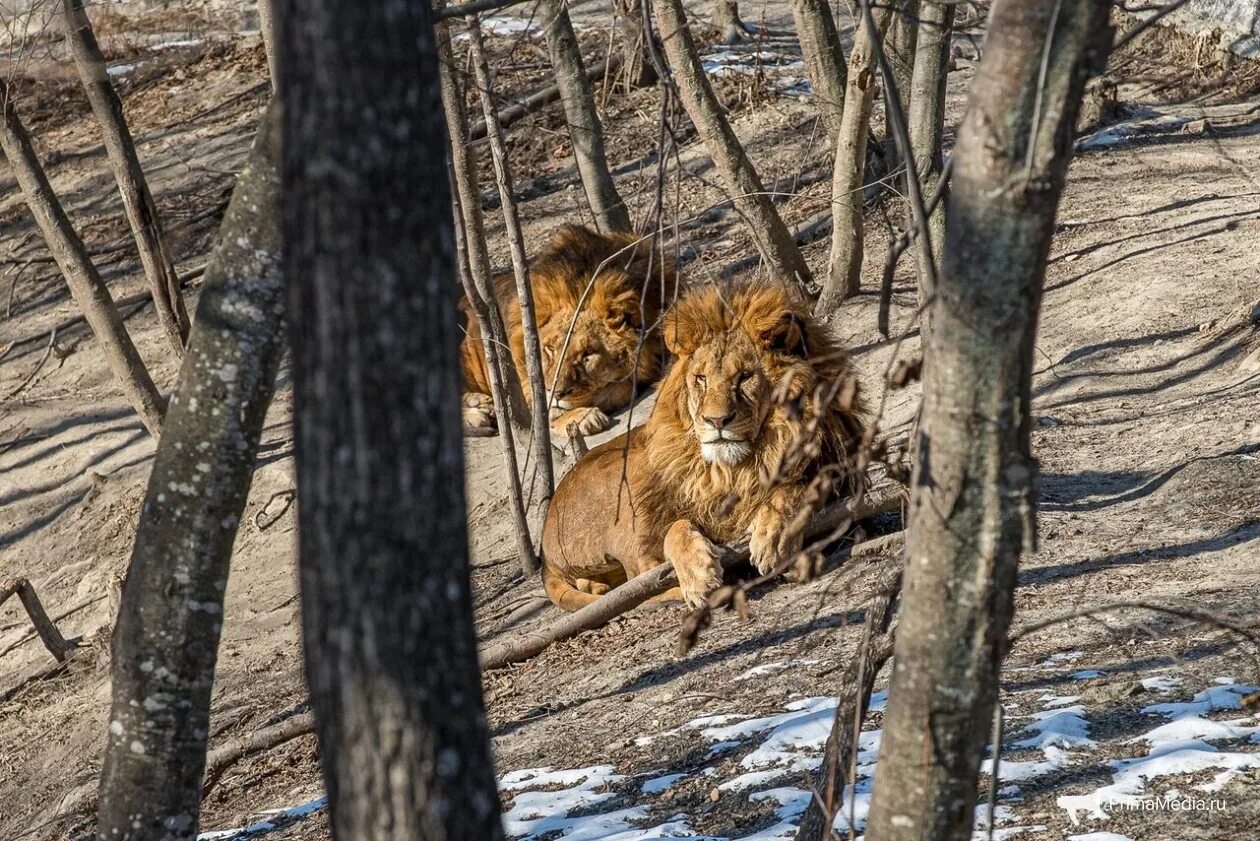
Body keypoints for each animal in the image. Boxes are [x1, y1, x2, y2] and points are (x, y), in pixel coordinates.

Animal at [541, 282, 866, 612]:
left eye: (745, 377)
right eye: (701, 379)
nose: (716, 420)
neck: (737, 469)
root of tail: (544, 545)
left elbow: (796, 488)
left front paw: (772, 538)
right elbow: (674, 531)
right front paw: (699, 576)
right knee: (640, 580)